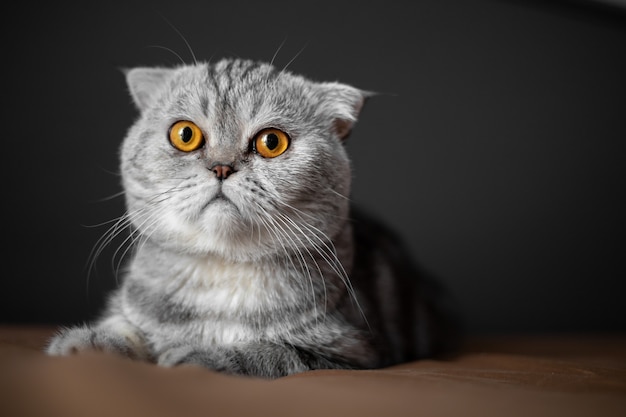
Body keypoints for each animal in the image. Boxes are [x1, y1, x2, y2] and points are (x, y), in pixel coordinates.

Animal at [44, 56, 454, 376]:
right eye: (185, 134)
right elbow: (123, 331)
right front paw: (83, 344)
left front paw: (198, 355)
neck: (221, 271)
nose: (222, 167)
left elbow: (268, 352)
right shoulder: (134, 312)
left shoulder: (351, 351)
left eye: (271, 142)